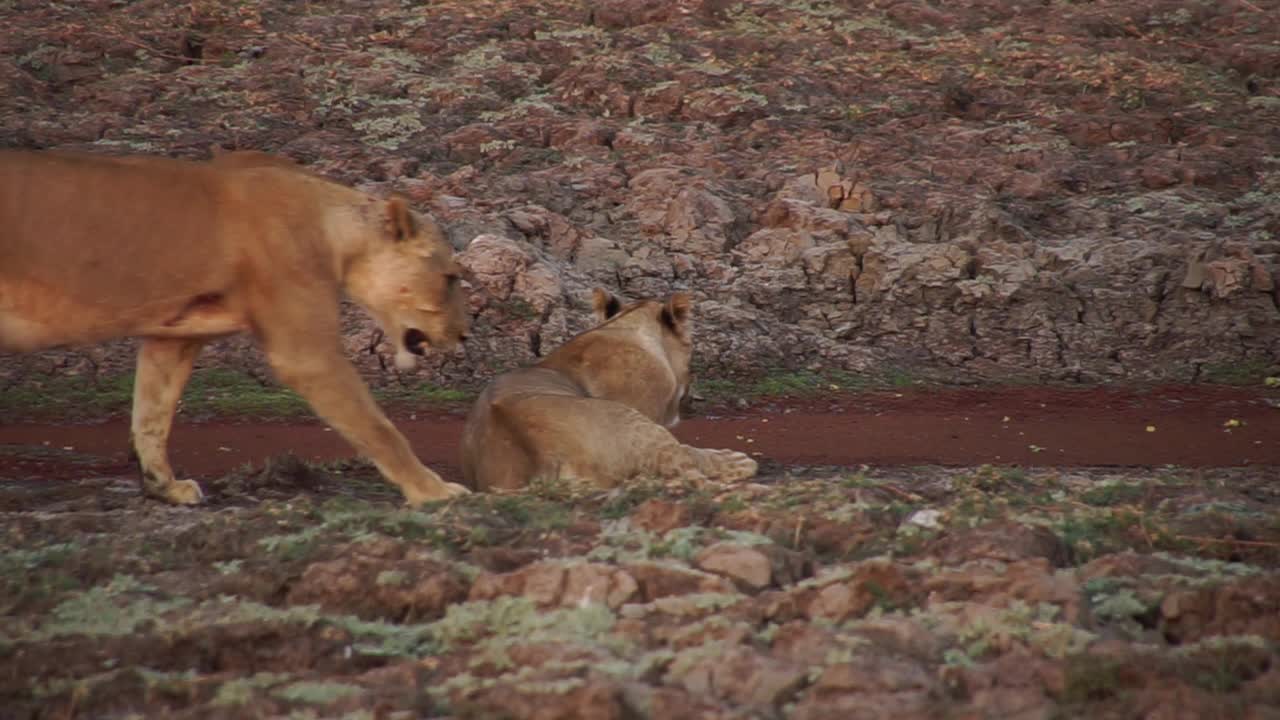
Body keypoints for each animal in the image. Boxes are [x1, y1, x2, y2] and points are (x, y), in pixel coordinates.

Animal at [1, 146, 471, 504]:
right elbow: (380, 428)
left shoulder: (173, 338)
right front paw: (434, 491)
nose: (465, 334)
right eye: (450, 277)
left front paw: (166, 487)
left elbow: (152, 414)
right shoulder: (306, 353)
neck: (334, 229)